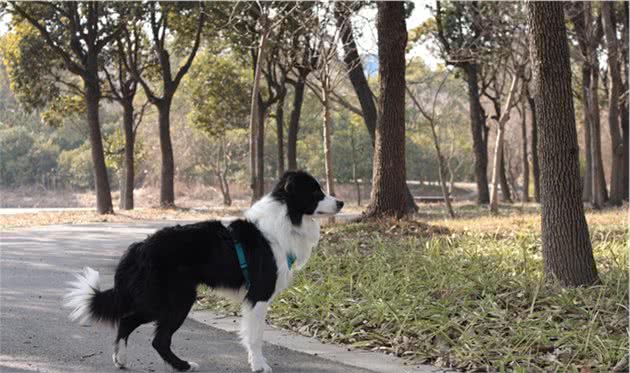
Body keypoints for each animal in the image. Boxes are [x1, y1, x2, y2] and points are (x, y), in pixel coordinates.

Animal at [64, 170, 346, 370]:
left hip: (165, 300)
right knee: (150, 334)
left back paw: (123, 359)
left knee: (131, 323)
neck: (286, 217)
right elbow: (255, 336)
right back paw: (180, 366)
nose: (342, 202)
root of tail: (139, 247)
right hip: (172, 300)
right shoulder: (259, 295)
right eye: (315, 192)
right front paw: (259, 365)